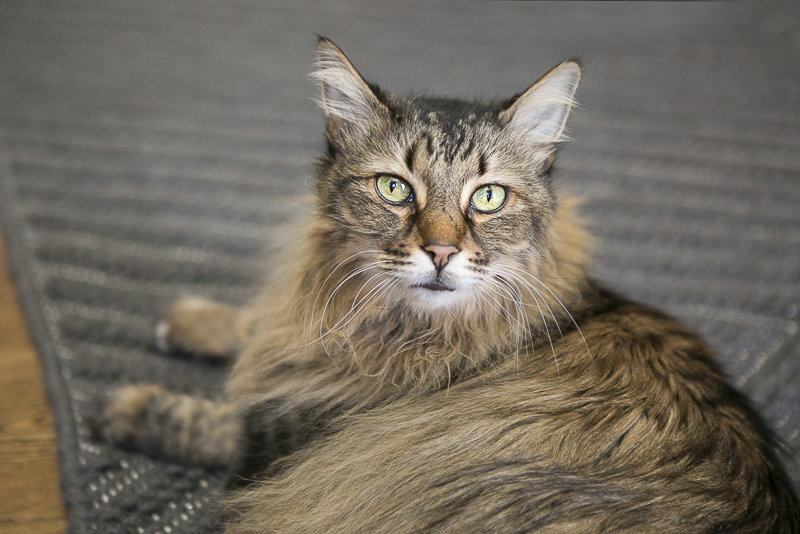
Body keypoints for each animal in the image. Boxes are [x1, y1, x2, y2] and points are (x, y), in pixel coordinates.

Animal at [95, 38, 800, 534]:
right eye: (394, 189)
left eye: (487, 198)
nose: (439, 252)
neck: (389, 328)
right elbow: (257, 320)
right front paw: (191, 321)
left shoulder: (302, 438)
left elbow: (212, 422)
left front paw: (127, 407)